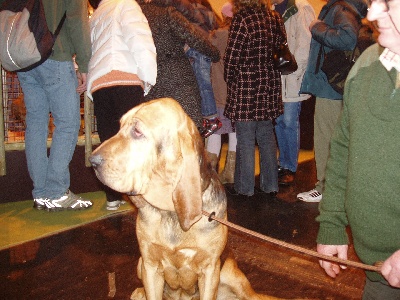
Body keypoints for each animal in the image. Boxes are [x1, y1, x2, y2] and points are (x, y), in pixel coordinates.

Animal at [90, 97, 282, 298]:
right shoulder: (150, 265)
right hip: (140, 265)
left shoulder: (210, 270)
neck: (171, 212)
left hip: (233, 277)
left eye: (137, 131)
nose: (92, 161)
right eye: (119, 127)